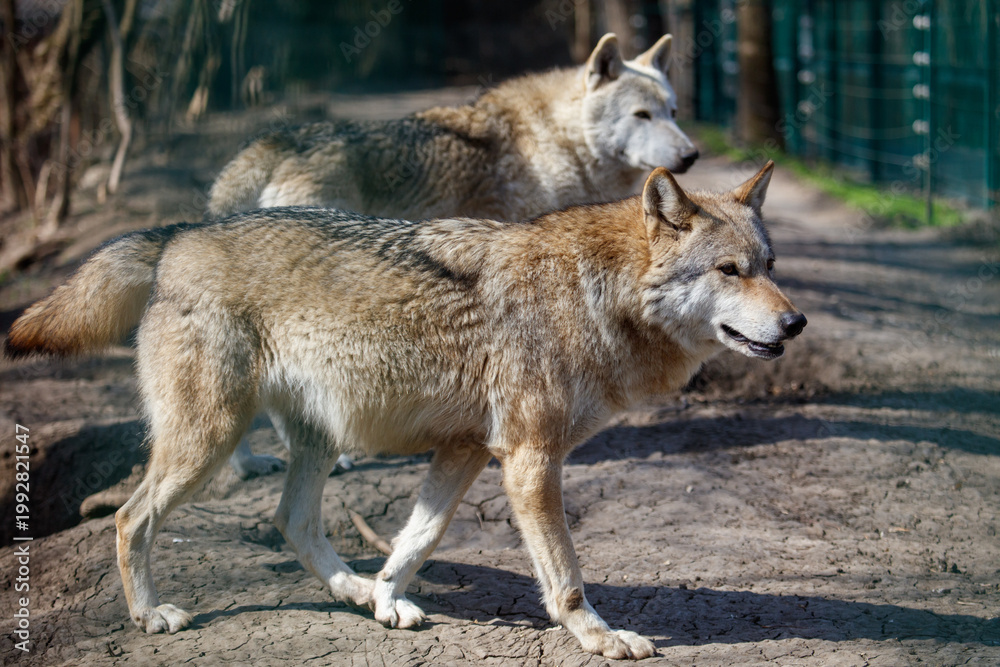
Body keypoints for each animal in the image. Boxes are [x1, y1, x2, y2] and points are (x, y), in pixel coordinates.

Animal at [5, 162, 803, 660]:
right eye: (729, 271)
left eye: (769, 266)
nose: (794, 324)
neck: (593, 291)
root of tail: (179, 234)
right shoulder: (529, 461)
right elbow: (567, 577)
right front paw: (602, 637)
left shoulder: (468, 450)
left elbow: (416, 539)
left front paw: (387, 597)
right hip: (208, 443)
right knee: (128, 517)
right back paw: (149, 615)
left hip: (316, 441)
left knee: (292, 521)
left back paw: (355, 591)